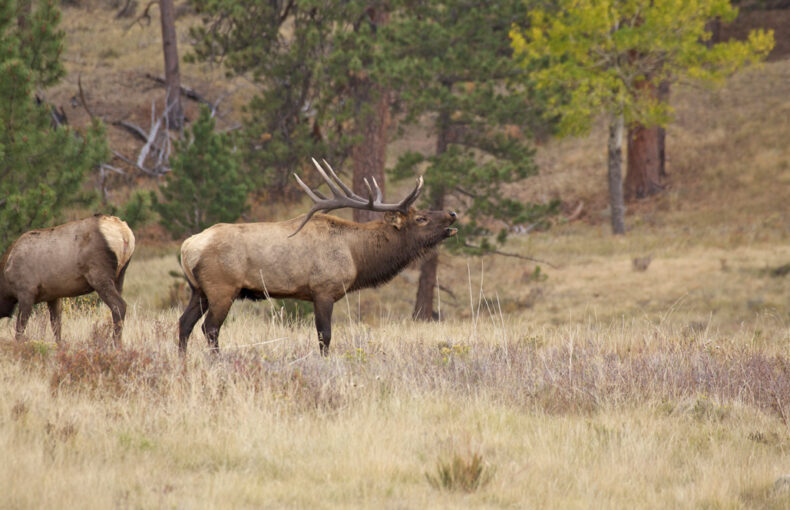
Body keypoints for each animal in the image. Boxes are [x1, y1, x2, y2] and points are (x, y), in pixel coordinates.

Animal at [0, 215, 135, 344]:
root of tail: (125, 234)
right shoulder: (53, 296)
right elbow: (56, 326)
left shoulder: (26, 291)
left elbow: (20, 329)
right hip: (120, 277)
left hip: (99, 275)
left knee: (120, 306)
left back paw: (115, 344)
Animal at [178, 158, 458, 355]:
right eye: (421, 218)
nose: (452, 214)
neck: (357, 257)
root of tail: (187, 247)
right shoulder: (324, 289)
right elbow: (325, 336)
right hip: (222, 288)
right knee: (210, 328)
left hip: (198, 290)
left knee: (184, 324)